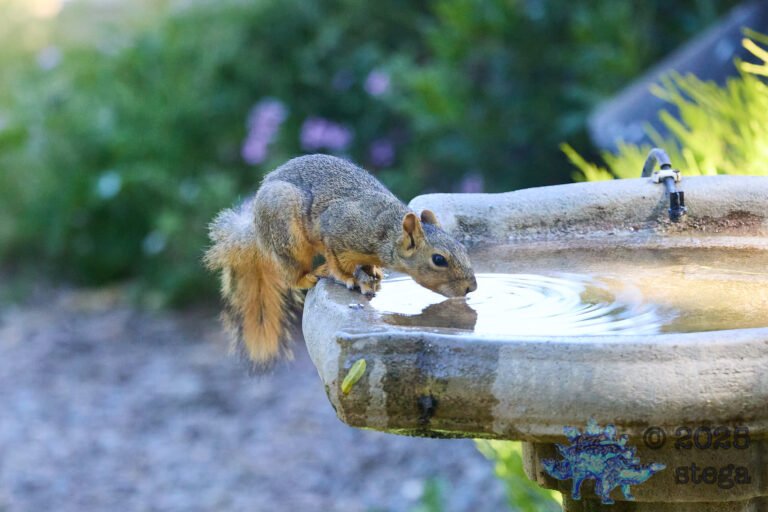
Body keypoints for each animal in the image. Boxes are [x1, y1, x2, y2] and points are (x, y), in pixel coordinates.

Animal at [204, 154, 477, 366]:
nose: (471, 287)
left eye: (463, 248)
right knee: (292, 275)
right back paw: (310, 275)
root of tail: (257, 227)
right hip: (286, 232)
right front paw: (350, 278)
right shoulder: (336, 231)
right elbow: (337, 261)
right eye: (439, 259)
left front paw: (373, 272)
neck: (385, 229)